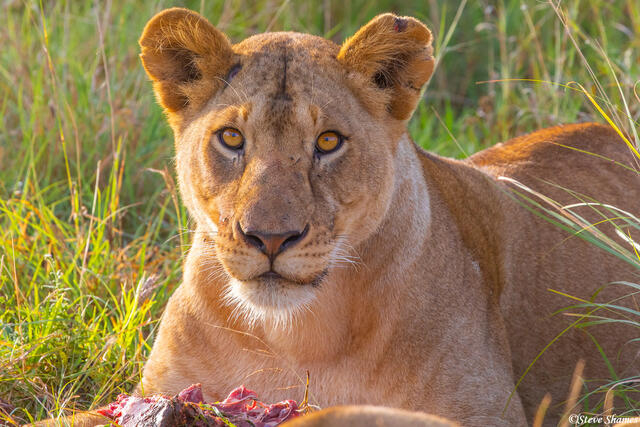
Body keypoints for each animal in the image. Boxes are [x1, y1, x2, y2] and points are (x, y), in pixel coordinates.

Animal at [33, 8, 640, 427]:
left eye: (328, 142)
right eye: (231, 139)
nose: (269, 237)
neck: (291, 338)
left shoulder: (486, 414)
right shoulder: (154, 391)